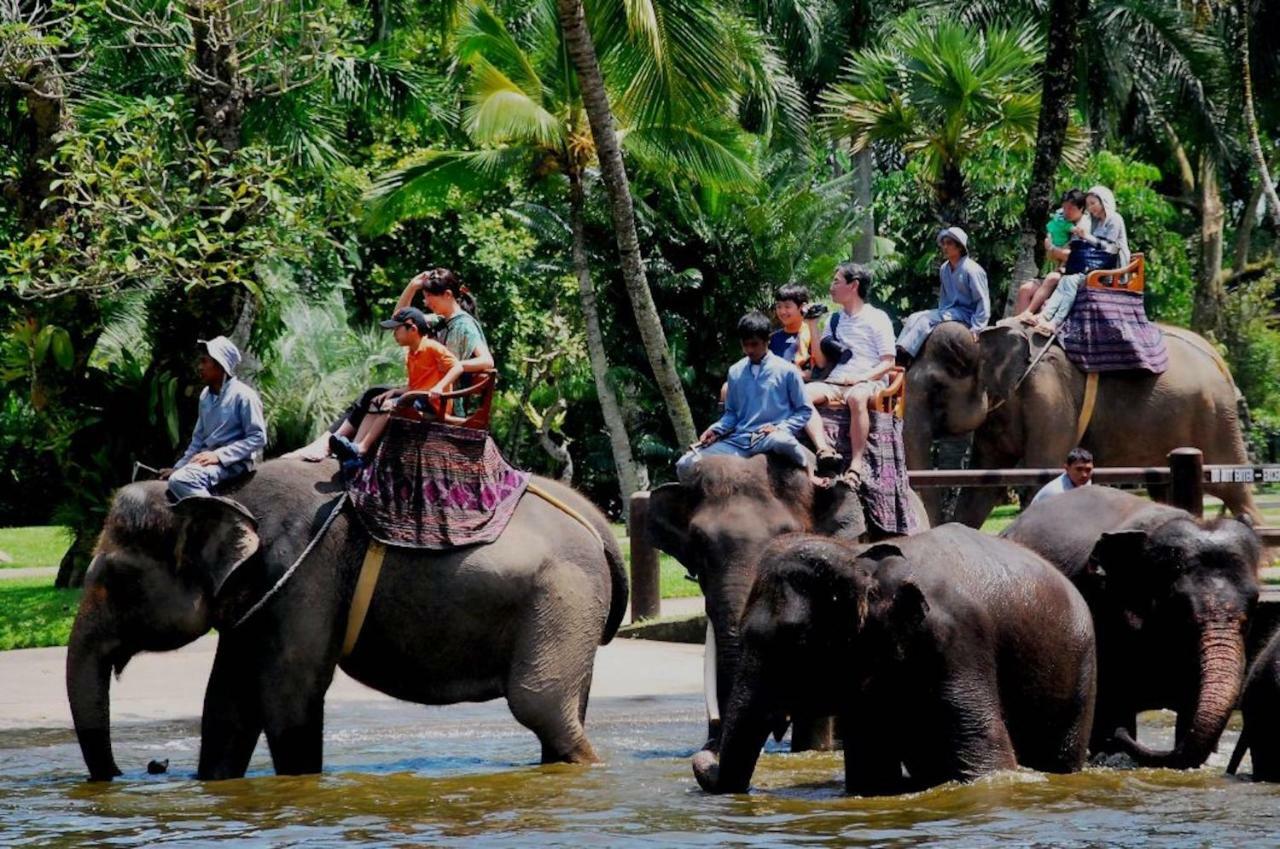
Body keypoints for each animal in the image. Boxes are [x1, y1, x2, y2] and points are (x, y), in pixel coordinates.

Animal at [67, 460, 627, 778]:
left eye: (116, 578)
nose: (133, 771)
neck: (225, 493)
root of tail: (599, 523)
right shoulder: (255, 599)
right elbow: (227, 700)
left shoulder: (300, 572)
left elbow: (288, 691)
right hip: (571, 606)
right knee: (564, 706)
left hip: (563, 594)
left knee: (538, 702)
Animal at [696, 525, 1095, 799]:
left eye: (795, 640)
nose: (705, 758)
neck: (858, 558)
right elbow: (871, 772)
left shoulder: (957, 637)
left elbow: (986, 758)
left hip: (1082, 668)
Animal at [901, 322, 1259, 527]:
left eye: (937, 389)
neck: (987, 336)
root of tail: (1217, 357)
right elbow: (983, 485)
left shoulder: (1050, 397)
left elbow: (1041, 469)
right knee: (1163, 488)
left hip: (1215, 419)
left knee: (1232, 486)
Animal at [998, 484, 1259, 768]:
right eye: (1178, 605)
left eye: (1254, 602)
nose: (1118, 736)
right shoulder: (1103, 610)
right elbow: (1112, 694)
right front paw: (1111, 750)